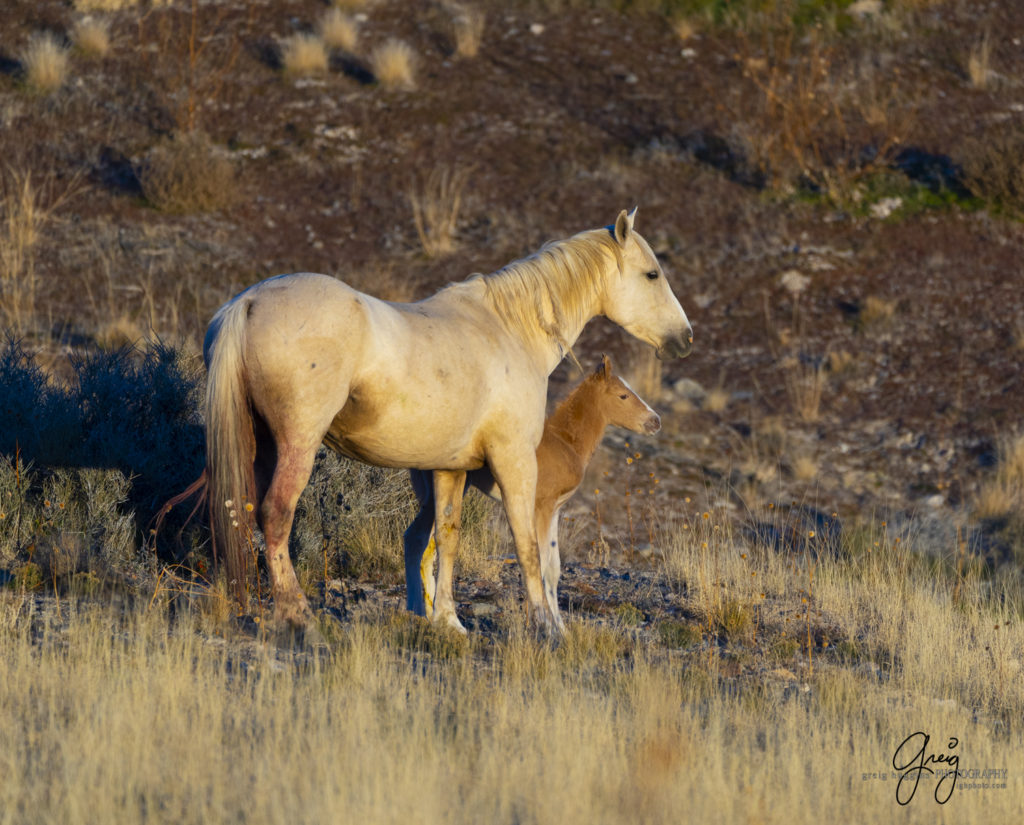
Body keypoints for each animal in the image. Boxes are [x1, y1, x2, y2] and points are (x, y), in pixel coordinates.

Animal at [403, 352, 659, 630]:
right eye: (623, 395)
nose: (655, 421)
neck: (565, 442)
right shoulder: (541, 506)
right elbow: (542, 562)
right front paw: (542, 622)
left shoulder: (555, 509)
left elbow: (554, 567)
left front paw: (559, 627)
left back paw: (427, 613)